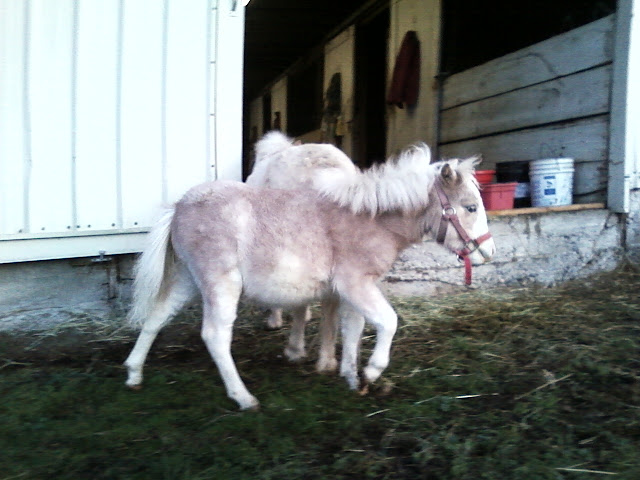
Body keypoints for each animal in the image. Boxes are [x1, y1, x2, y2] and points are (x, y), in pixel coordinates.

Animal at [125, 142, 496, 408]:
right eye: (471, 207)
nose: (488, 253)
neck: (370, 219)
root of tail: (178, 207)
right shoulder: (354, 283)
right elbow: (388, 322)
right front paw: (372, 370)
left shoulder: (351, 290)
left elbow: (353, 330)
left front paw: (353, 378)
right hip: (220, 282)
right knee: (215, 335)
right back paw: (244, 398)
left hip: (187, 279)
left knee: (156, 317)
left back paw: (133, 374)